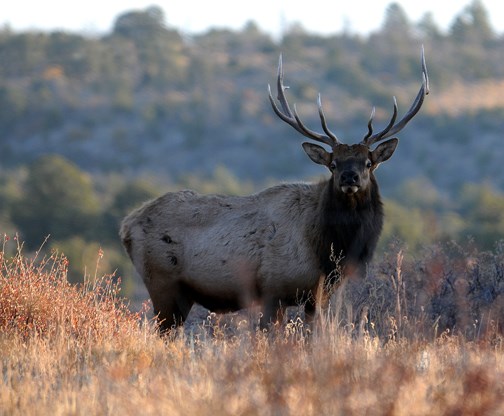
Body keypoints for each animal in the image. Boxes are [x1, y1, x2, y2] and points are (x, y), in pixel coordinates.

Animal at [119, 49, 430, 332]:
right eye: (333, 164)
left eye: (368, 162)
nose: (349, 177)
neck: (326, 248)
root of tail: (125, 225)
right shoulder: (273, 289)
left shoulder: (318, 297)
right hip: (163, 284)